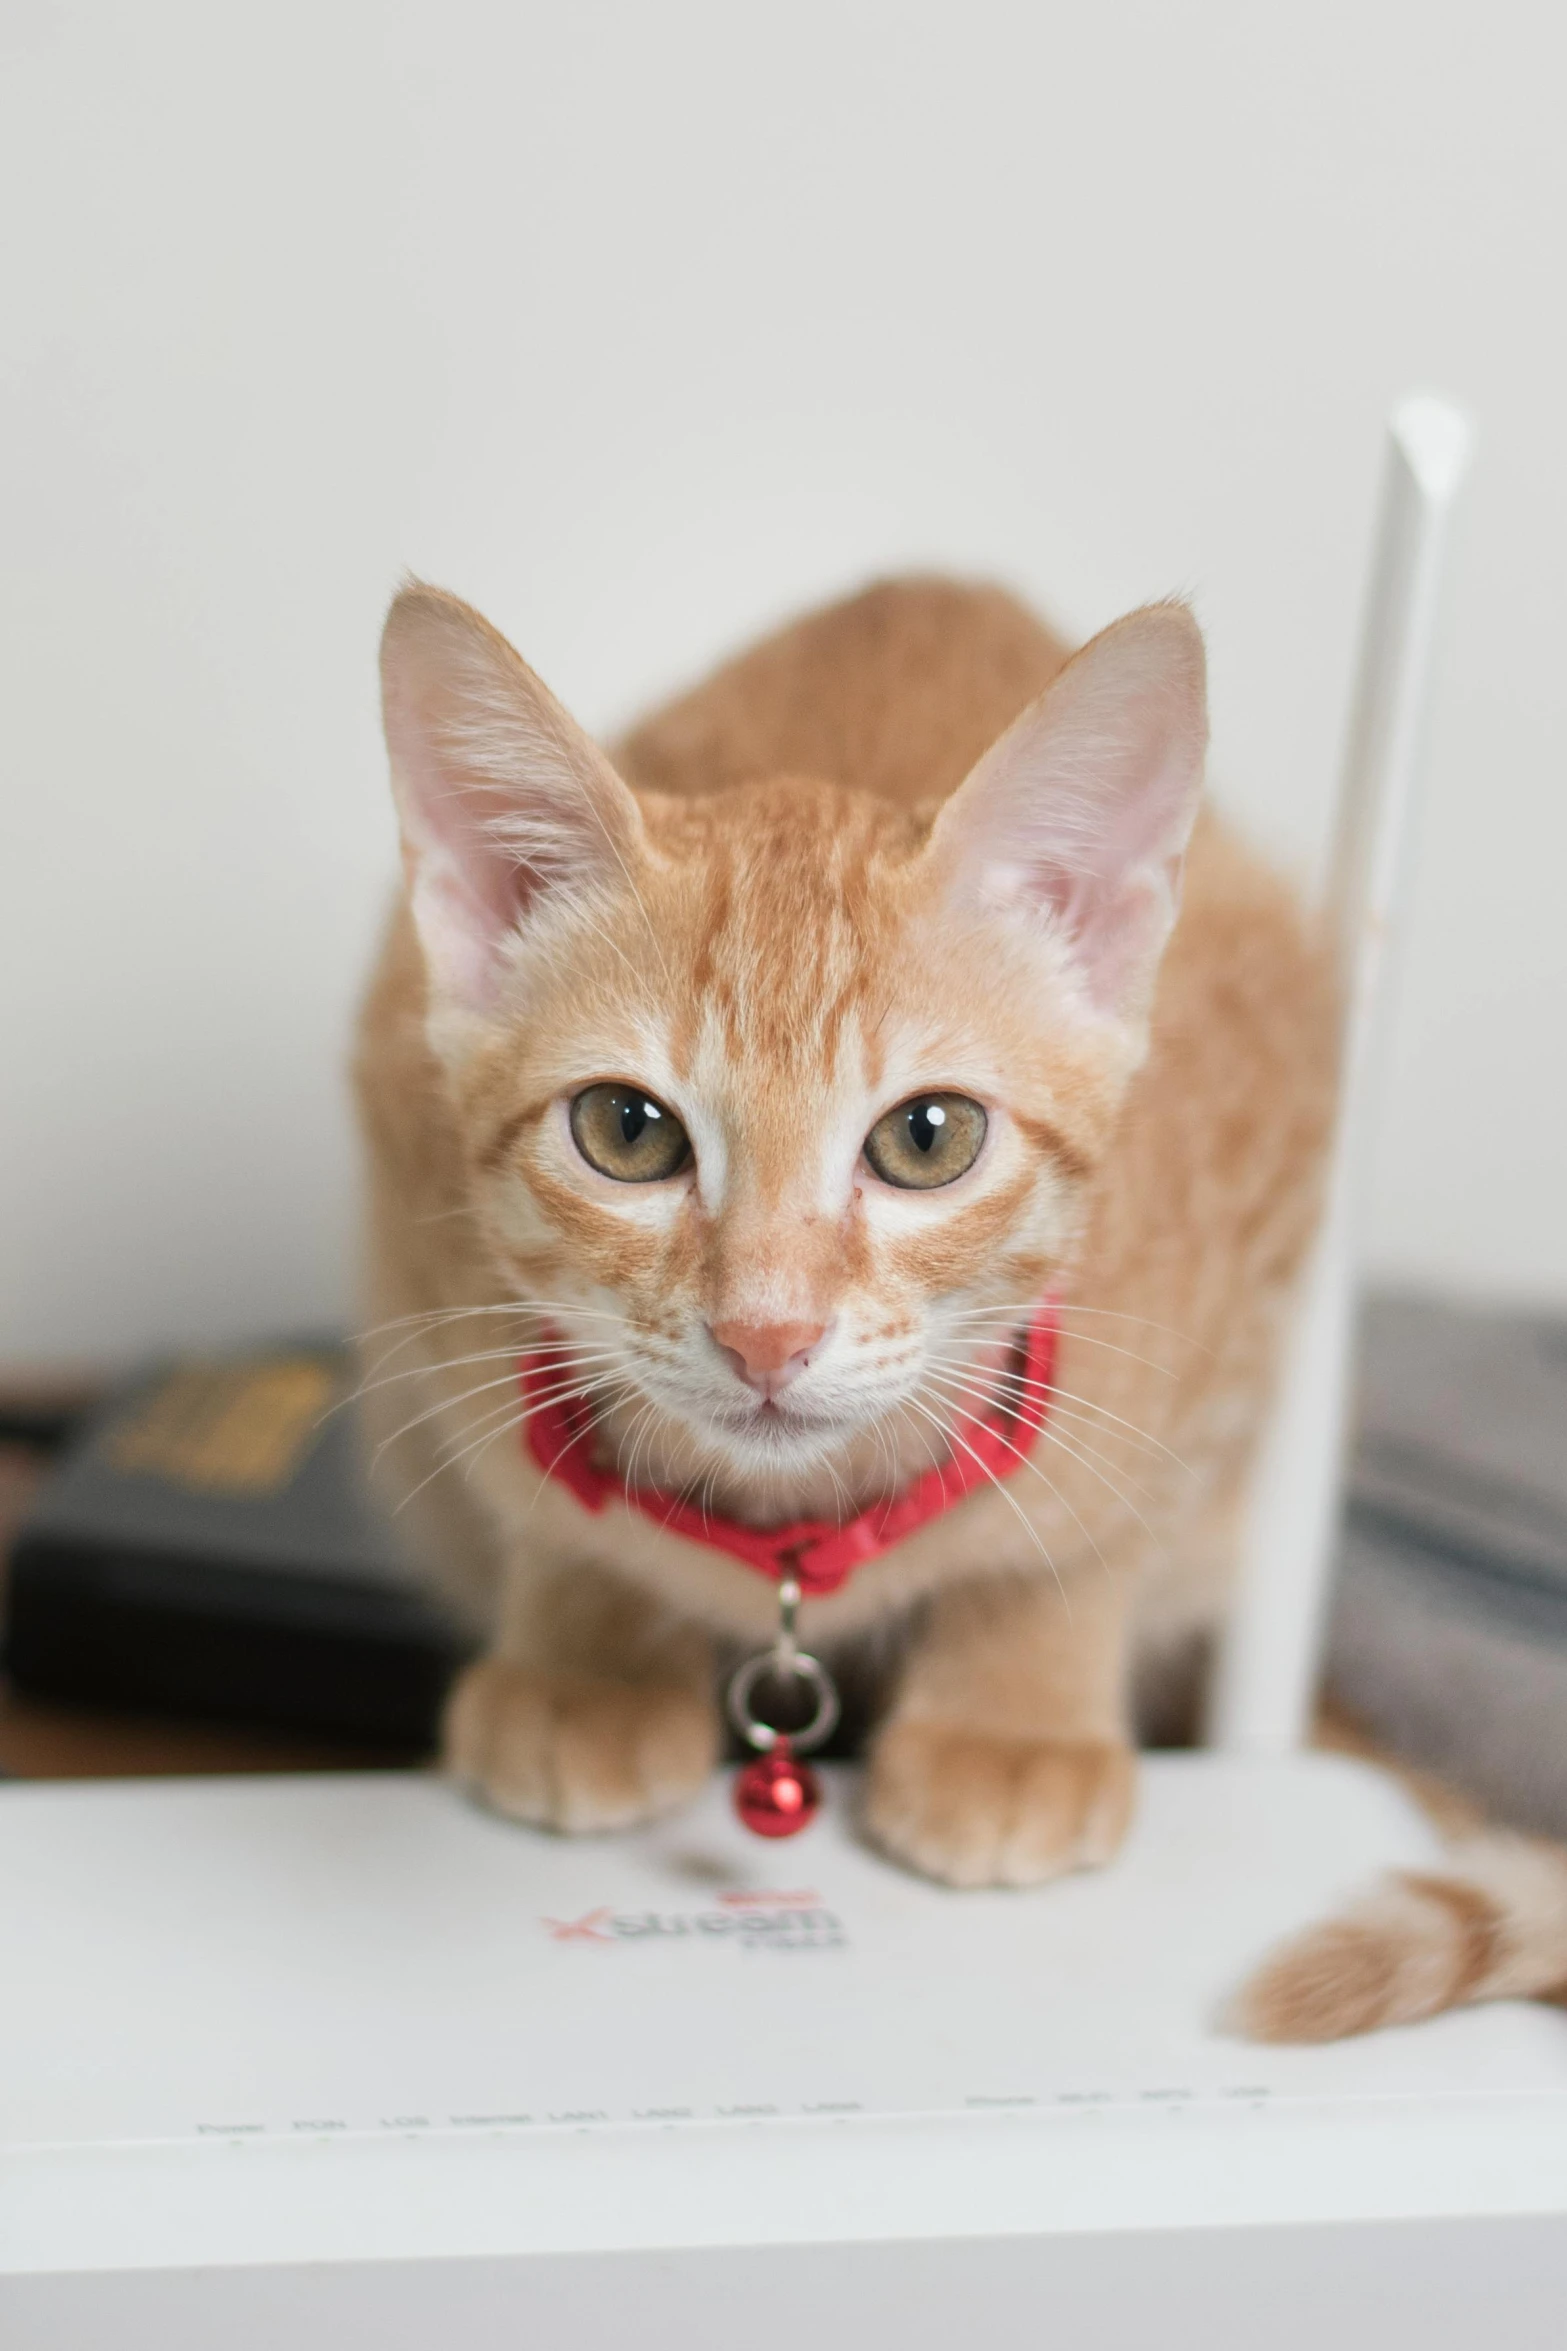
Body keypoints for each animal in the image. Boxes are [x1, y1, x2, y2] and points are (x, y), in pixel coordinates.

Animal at [354, 573, 1567, 2040]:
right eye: (625, 1130)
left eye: (926, 1137)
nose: (766, 1332)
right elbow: (547, 1508)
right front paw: (587, 1651)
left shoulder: (1243, 1266)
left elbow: (1090, 1531)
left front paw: (1012, 1716)